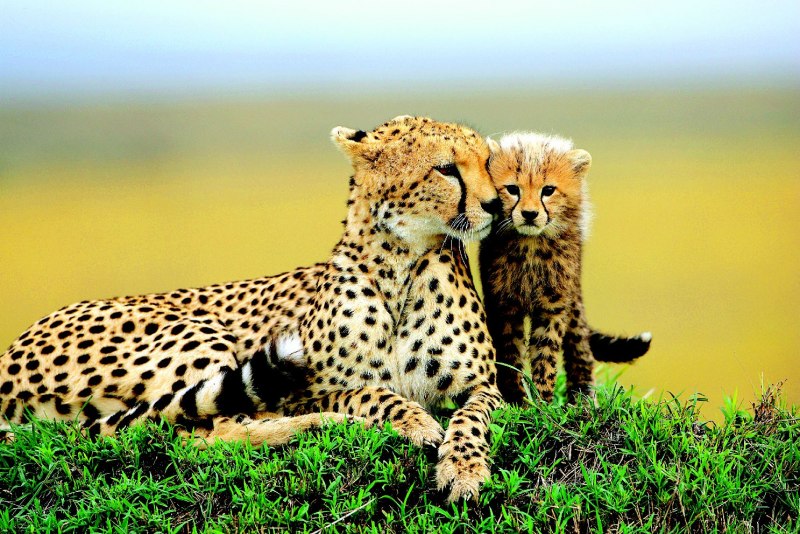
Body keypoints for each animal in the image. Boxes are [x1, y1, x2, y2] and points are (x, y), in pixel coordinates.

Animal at [0, 115, 504, 502]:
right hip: (194, 331)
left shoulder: (485, 385)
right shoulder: (304, 386)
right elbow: (369, 393)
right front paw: (413, 421)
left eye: (488, 162)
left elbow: (470, 420)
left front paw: (463, 471)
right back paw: (330, 425)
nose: (497, 204)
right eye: (446, 169)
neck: (400, 264)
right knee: (203, 432)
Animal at [479, 132, 651, 405]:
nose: (529, 214)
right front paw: (517, 399)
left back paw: (583, 396)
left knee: (580, 344)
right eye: (512, 189)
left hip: (574, 299)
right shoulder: (504, 305)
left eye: (548, 190)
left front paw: (543, 402)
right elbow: (510, 354)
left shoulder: (554, 304)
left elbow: (546, 354)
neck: (531, 245)